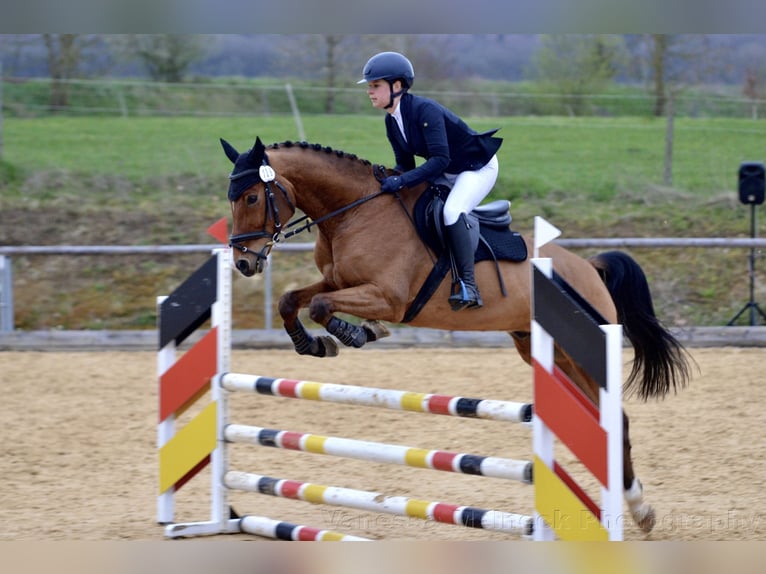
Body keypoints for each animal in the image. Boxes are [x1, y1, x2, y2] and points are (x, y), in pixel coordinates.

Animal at [220, 136, 692, 535]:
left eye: (251, 196)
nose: (243, 263)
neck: (354, 212)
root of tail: (589, 267)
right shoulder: (337, 282)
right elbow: (292, 300)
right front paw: (312, 343)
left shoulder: (387, 297)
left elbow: (322, 307)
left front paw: (355, 333)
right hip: (544, 350)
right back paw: (634, 508)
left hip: (576, 351)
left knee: (616, 419)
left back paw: (639, 510)